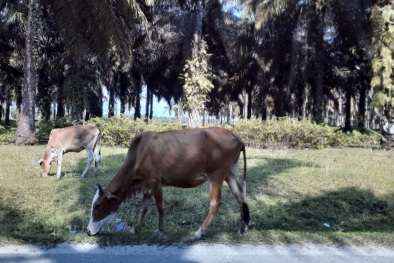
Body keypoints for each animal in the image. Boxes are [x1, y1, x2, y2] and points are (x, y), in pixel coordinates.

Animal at [87, 127, 251, 240]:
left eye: (98, 205)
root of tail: (235, 137)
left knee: (216, 202)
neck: (138, 153)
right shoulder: (147, 185)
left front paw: (160, 230)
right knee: (240, 197)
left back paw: (199, 231)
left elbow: (160, 206)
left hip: (217, 176)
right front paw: (135, 228)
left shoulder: (155, 181)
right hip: (230, 173)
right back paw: (242, 228)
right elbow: (143, 208)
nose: (88, 231)